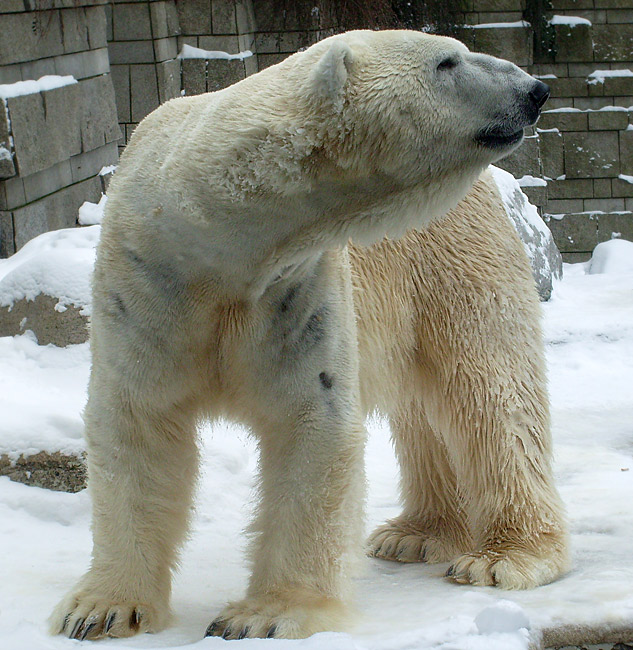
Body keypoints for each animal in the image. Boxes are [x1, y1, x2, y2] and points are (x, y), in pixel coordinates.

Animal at [48, 29, 568, 636]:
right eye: (447, 62)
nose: (535, 90)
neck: (213, 241)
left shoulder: (297, 290)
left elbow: (311, 425)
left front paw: (265, 615)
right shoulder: (145, 287)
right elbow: (136, 425)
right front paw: (101, 609)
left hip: (455, 258)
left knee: (490, 393)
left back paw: (505, 556)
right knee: (426, 407)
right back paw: (418, 533)